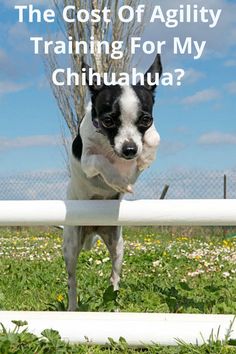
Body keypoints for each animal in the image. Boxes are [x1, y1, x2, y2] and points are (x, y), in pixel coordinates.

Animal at [62, 54, 162, 312]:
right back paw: (72, 307)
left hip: (117, 246)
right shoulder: (88, 161)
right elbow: (101, 161)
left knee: (114, 278)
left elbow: (154, 139)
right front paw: (118, 181)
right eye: (108, 121)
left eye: (146, 120)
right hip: (71, 246)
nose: (130, 149)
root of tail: (94, 228)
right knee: (72, 281)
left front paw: (144, 157)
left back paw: (115, 306)